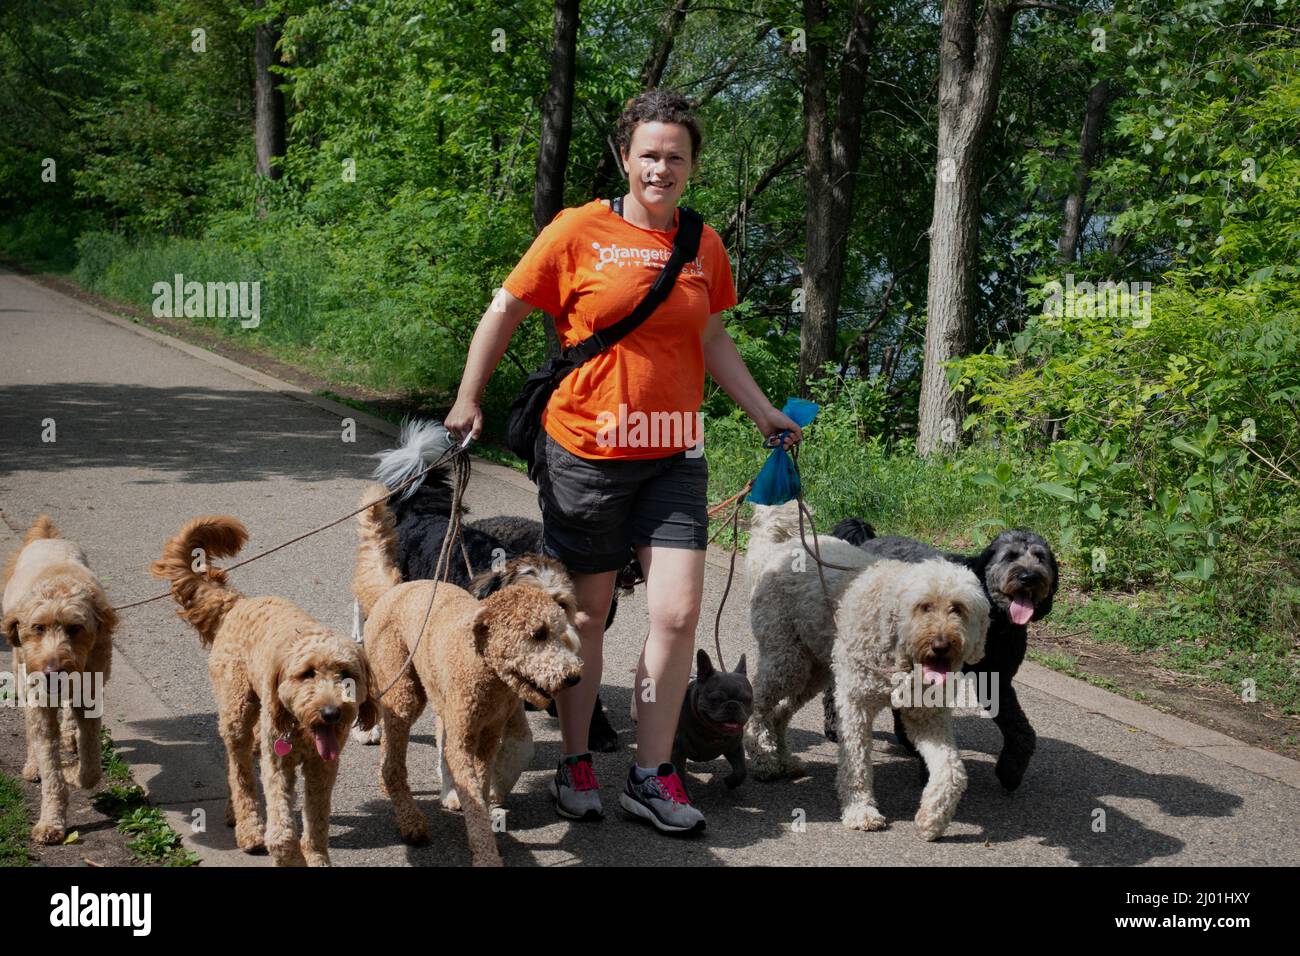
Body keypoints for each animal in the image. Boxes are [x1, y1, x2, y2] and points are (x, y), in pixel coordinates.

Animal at [1, 515, 114, 842]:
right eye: (37, 627)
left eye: (76, 628)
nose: (52, 671)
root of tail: (48, 539)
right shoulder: (39, 702)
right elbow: (50, 765)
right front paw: (51, 821)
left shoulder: (90, 697)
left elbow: (91, 766)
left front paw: (77, 774)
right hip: (20, 671)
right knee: (31, 729)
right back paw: (32, 764)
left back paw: (68, 735)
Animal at [152, 515, 379, 868]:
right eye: (307, 674)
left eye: (346, 676)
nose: (331, 713)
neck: (301, 730)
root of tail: (238, 602)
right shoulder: (279, 764)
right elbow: (281, 832)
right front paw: (289, 856)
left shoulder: (322, 767)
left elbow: (317, 820)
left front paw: (316, 857)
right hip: (237, 711)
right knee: (240, 769)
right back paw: (248, 828)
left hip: (258, 724)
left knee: (242, 763)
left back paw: (234, 812)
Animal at [351, 486, 585, 868]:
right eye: (536, 633)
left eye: (562, 606)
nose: (573, 675)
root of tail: (394, 589)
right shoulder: (458, 723)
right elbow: (460, 770)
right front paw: (469, 812)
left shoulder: (497, 721)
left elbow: (516, 751)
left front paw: (493, 794)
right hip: (403, 686)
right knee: (389, 733)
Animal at [832, 556, 982, 842]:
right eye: (924, 606)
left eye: (957, 608)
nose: (941, 645)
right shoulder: (856, 703)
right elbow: (856, 760)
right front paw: (860, 810)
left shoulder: (928, 716)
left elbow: (952, 769)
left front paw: (934, 817)